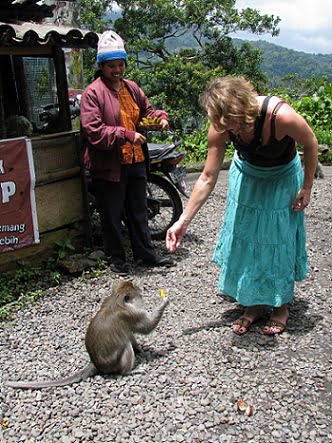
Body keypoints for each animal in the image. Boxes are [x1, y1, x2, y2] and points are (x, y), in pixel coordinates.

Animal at [5, 282, 169, 390]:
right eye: (139, 294)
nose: (142, 291)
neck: (116, 300)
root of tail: (95, 363)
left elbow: (129, 333)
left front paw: (141, 348)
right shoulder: (133, 314)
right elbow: (146, 327)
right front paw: (164, 302)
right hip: (113, 364)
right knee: (125, 347)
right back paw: (129, 371)